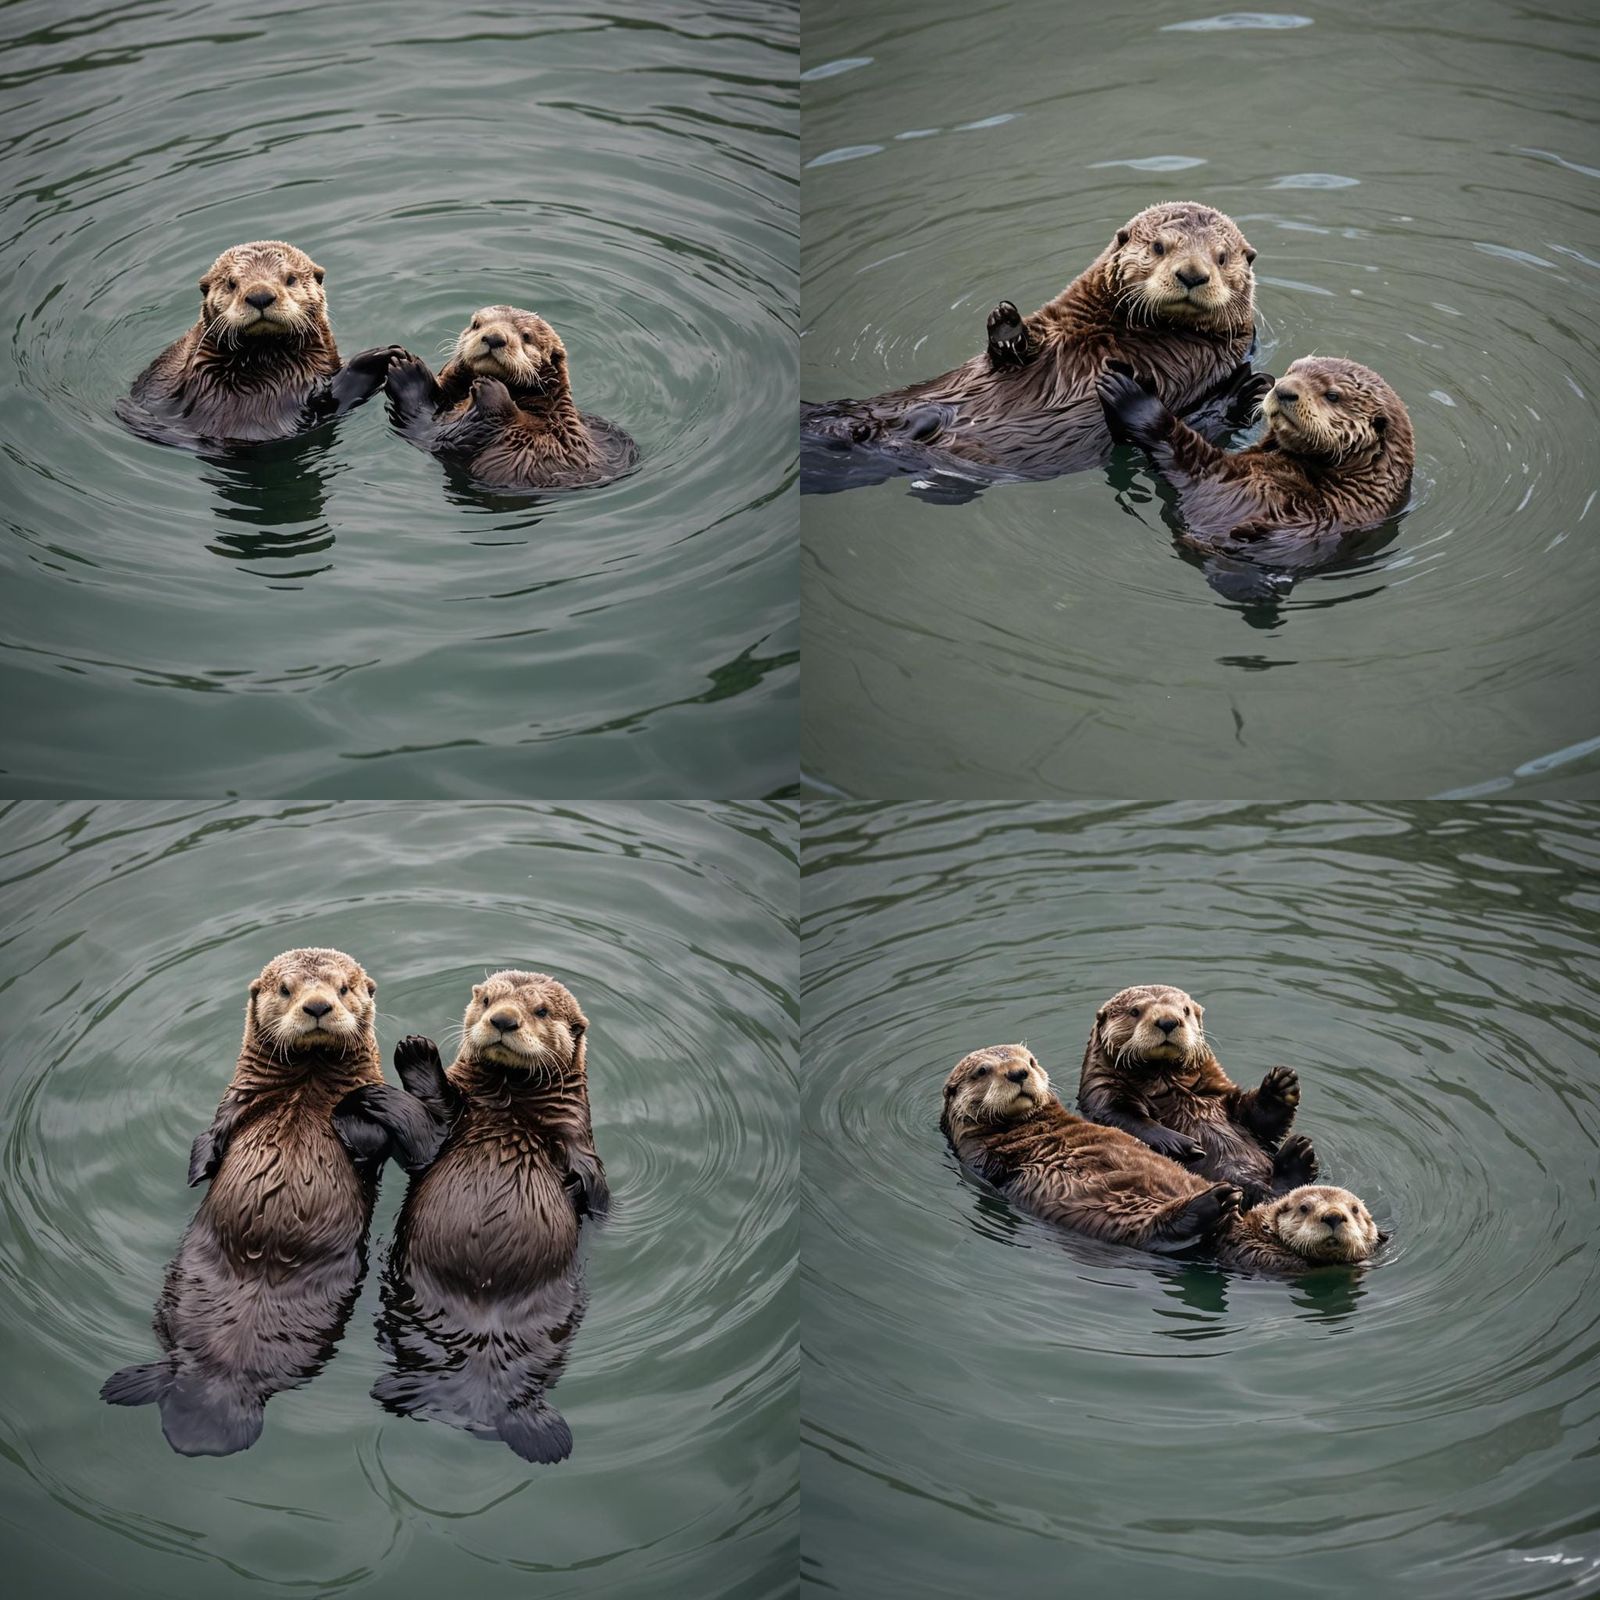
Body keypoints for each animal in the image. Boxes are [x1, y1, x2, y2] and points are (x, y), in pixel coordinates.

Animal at [101, 948, 387, 1456]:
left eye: (343, 988)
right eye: (287, 990)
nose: (317, 1006)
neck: (306, 1090)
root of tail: (220, 1382)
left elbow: (371, 1141)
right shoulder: (236, 1102)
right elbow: (210, 1143)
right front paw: (197, 1169)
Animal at [333, 973, 606, 1462]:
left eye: (540, 1011)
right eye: (487, 999)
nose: (503, 1019)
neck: (506, 1110)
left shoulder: (581, 1143)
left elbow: (596, 1193)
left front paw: (573, 1179)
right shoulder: (439, 1136)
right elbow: (428, 1135)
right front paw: (415, 1052)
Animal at [802, 202, 1265, 492]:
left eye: (1222, 258)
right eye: (1158, 247)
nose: (1192, 274)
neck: (1121, 334)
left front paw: (1131, 380)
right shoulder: (1057, 323)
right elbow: (1010, 353)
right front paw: (1006, 322)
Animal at [941, 1045, 1243, 1250]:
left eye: (1030, 1061)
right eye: (982, 1071)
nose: (1019, 1072)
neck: (1031, 1125)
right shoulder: (979, 1155)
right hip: (1116, 1216)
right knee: (1157, 1232)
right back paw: (1215, 1200)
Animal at [1077, 985, 1318, 1206]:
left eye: (1185, 1010)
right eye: (1135, 1011)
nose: (1168, 1021)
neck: (1165, 1081)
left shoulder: (1221, 1096)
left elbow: (1260, 1121)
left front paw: (1281, 1084)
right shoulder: (1102, 1091)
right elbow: (1126, 1119)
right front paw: (1183, 1143)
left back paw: (1300, 1155)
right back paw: (1297, 1157)